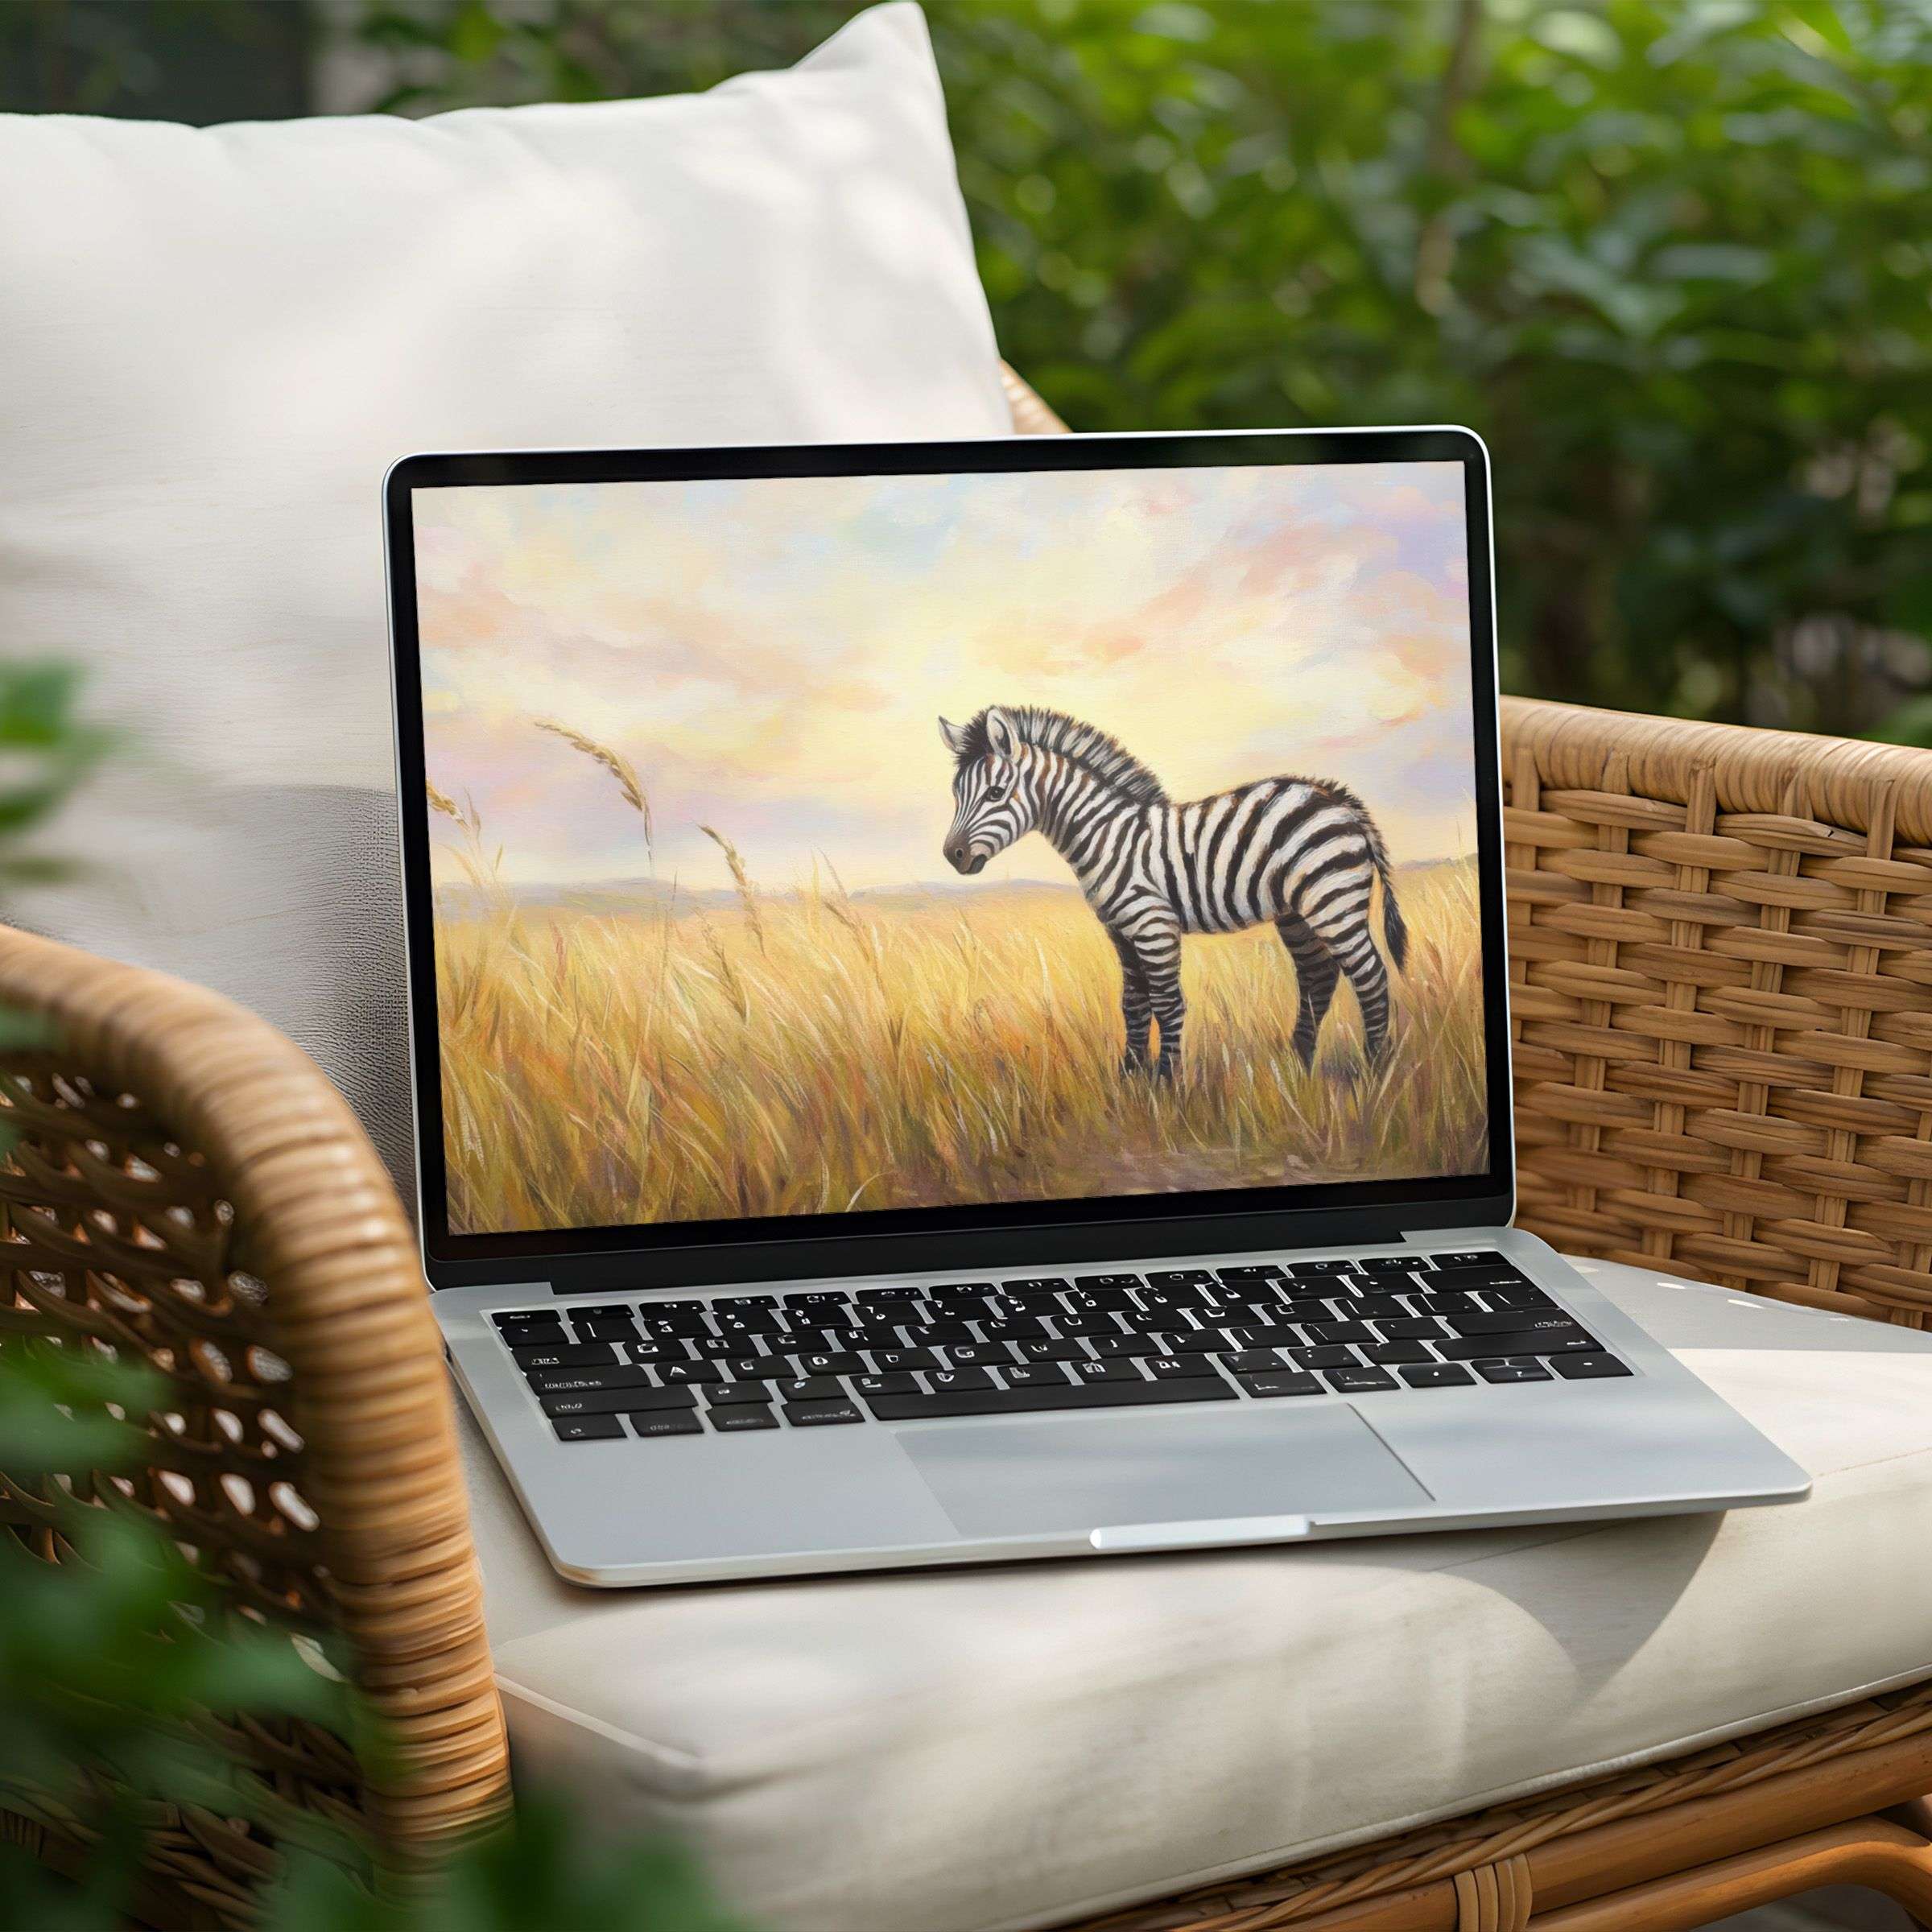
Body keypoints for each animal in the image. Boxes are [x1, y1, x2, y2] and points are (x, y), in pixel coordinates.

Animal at [939, 705, 1407, 1079]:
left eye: (996, 793)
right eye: (956, 793)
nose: (952, 855)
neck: (1108, 836)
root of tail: (1339, 800)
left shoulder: (1153, 925)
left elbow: (1167, 1003)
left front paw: (1168, 1082)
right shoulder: (1120, 931)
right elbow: (1133, 1004)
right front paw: (1129, 1077)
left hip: (1333, 902)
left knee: (1371, 976)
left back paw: (1374, 1070)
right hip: (1296, 914)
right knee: (1318, 977)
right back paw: (1298, 1066)